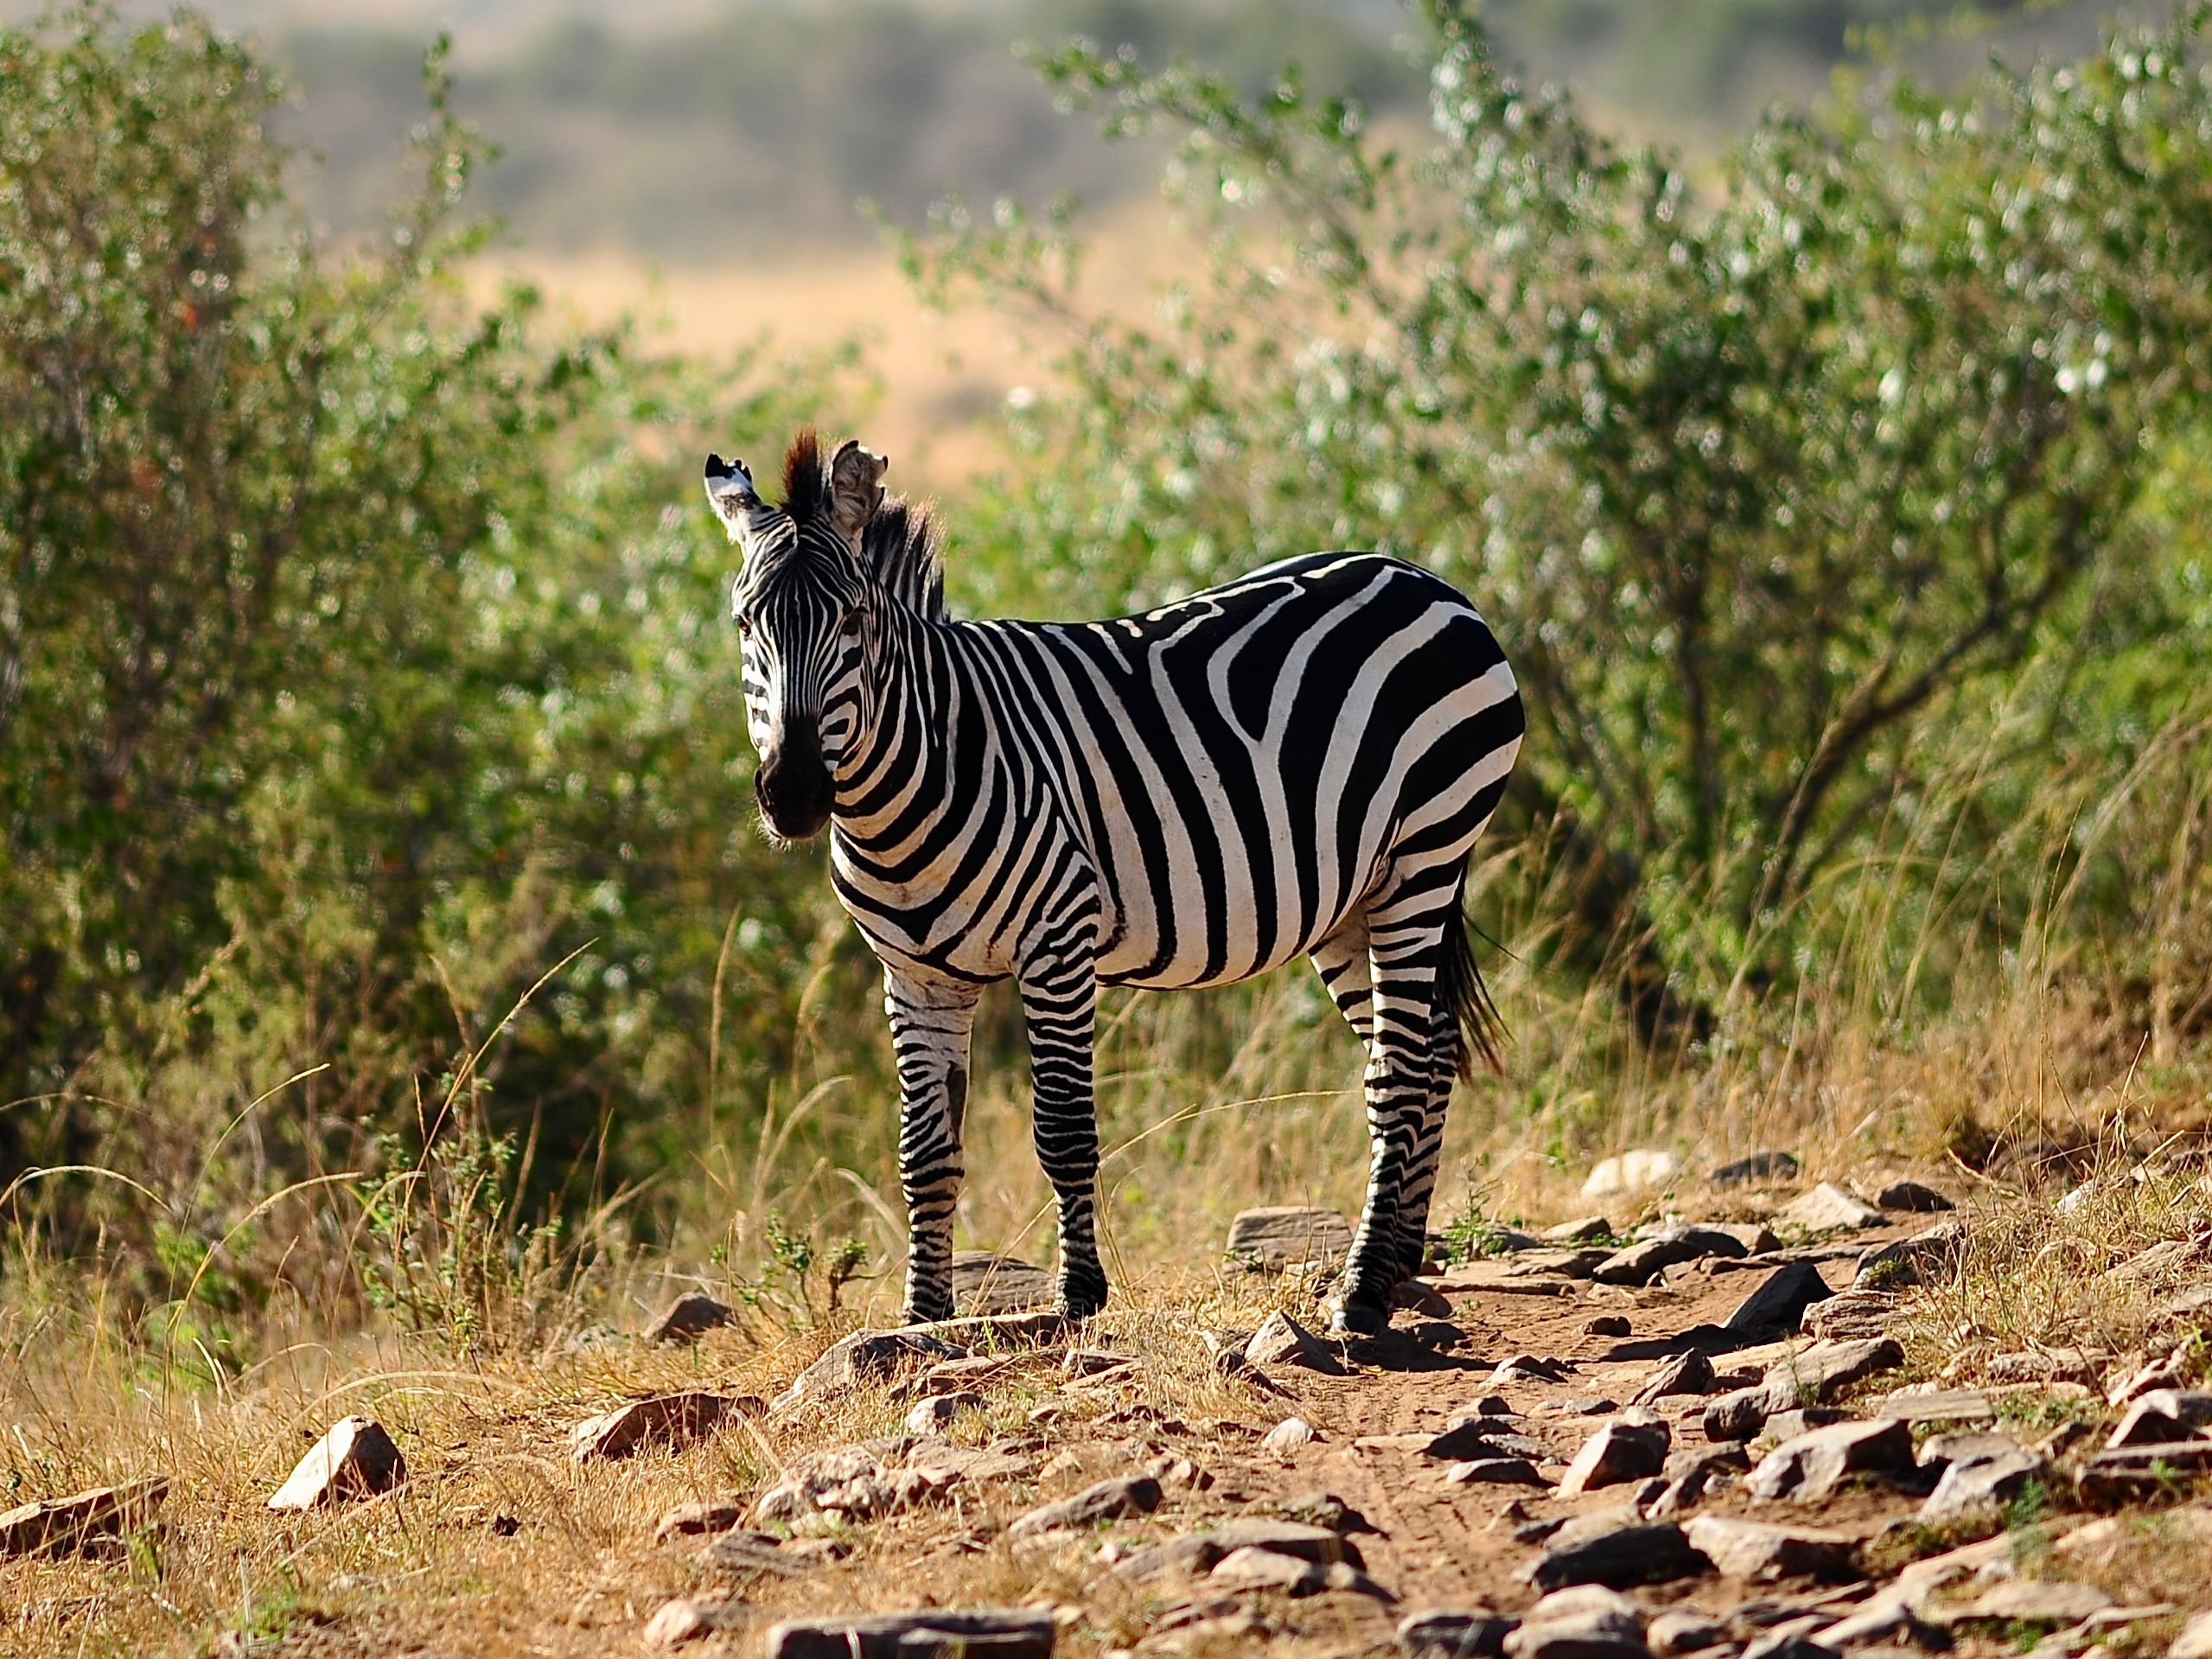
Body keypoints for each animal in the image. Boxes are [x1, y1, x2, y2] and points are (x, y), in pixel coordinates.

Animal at [703, 431, 1523, 1336]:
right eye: (744, 624)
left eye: (853, 620)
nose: (793, 794)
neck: (913, 780)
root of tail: (1420, 576)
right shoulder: (914, 977)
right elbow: (925, 1152)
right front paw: (922, 1318)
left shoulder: (1056, 943)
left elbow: (1063, 1132)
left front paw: (1079, 1295)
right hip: (1354, 900)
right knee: (1428, 1049)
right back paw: (1403, 1257)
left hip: (1427, 850)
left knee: (1402, 1069)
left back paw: (1365, 1287)